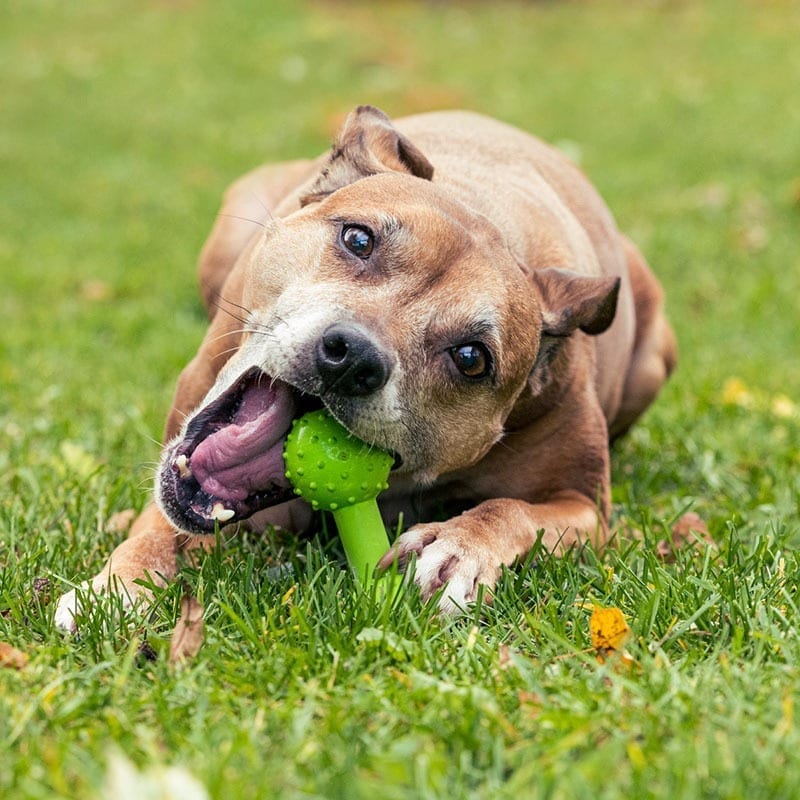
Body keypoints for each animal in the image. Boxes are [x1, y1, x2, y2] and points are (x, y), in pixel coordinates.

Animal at [54, 106, 676, 628]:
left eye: (471, 358)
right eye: (358, 238)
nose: (352, 357)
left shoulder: (584, 508)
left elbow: (509, 510)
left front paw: (459, 549)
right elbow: (162, 519)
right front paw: (121, 583)